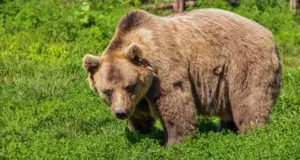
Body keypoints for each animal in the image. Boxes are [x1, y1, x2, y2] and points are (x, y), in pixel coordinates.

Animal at [82, 8, 282, 145]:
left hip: (244, 63)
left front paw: (173, 142)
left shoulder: (164, 68)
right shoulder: (140, 96)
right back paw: (226, 129)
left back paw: (251, 132)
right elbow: (140, 114)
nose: (120, 112)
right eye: (107, 91)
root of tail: (269, 34)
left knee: (249, 99)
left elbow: (175, 101)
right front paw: (139, 132)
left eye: (129, 86)